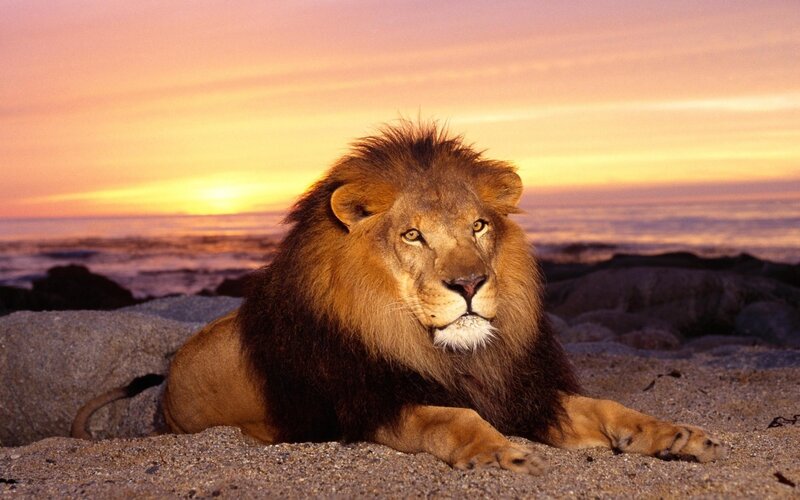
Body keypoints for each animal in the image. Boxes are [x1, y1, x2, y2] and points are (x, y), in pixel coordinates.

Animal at [73, 122, 725, 473]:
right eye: (413, 235)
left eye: (478, 227)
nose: (469, 285)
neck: (448, 353)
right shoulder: (371, 405)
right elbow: (451, 416)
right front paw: (502, 453)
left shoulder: (522, 390)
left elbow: (609, 407)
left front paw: (675, 435)